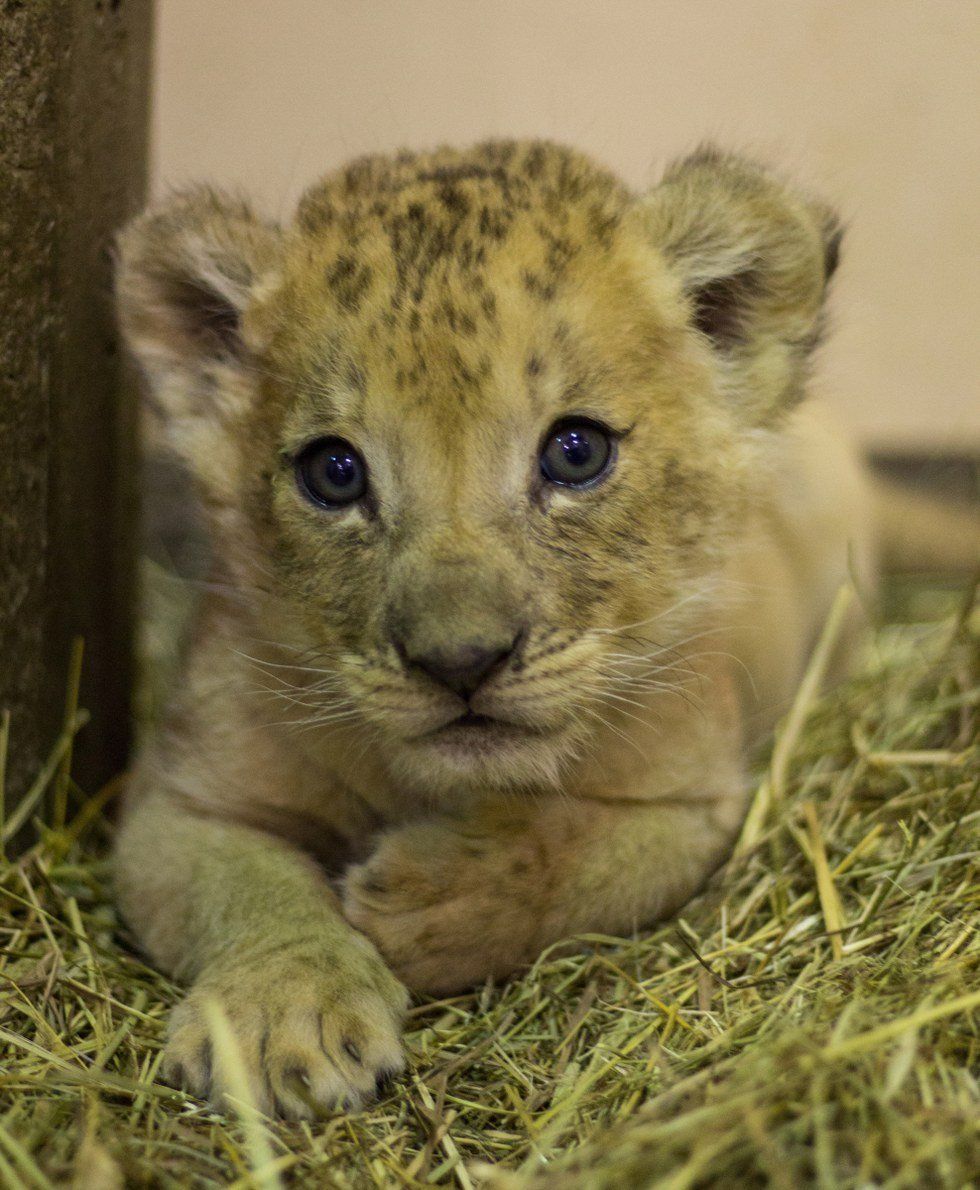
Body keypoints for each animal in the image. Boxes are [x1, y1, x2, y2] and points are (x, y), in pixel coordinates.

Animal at [113, 140, 974, 1119]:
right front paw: (282, 1012)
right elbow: (245, 885)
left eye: (576, 452)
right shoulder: (176, 800)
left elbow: (575, 855)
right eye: (334, 473)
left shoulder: (694, 802)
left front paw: (429, 900)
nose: (460, 662)